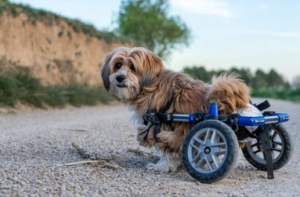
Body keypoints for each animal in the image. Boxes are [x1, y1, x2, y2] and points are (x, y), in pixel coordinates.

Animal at [101, 46, 251, 172]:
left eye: (133, 67)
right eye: (118, 65)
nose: (119, 77)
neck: (151, 84)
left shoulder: (163, 124)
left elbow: (168, 149)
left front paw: (162, 166)